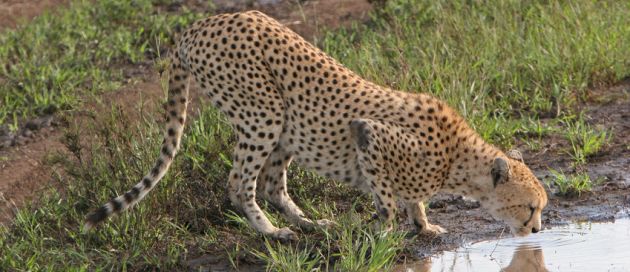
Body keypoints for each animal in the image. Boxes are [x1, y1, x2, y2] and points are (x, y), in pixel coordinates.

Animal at [84, 10, 548, 240]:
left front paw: (424, 225)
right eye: (530, 207)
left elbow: (413, 200)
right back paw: (273, 233)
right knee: (239, 184)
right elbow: (388, 199)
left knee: (272, 185)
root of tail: (200, 24)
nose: (537, 229)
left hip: (285, 128)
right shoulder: (370, 137)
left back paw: (310, 224)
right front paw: (383, 231)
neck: (458, 159)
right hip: (264, 112)